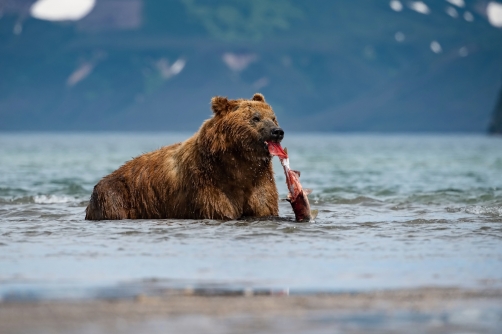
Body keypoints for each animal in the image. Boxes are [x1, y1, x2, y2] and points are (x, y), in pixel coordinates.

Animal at [84, 92, 284, 220]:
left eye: (273, 117)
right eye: (255, 118)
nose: (277, 131)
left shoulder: (259, 179)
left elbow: (263, 207)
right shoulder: (208, 180)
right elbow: (219, 208)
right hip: (118, 194)